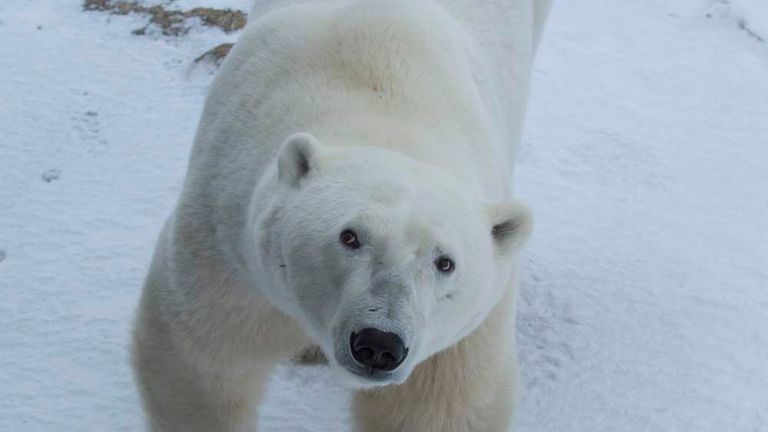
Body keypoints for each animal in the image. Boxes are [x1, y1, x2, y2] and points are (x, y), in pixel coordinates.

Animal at [134, 0, 552, 430]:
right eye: (349, 236)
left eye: (445, 262)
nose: (379, 345)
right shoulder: (229, 245)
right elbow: (205, 359)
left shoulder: (471, 325)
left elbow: (435, 405)